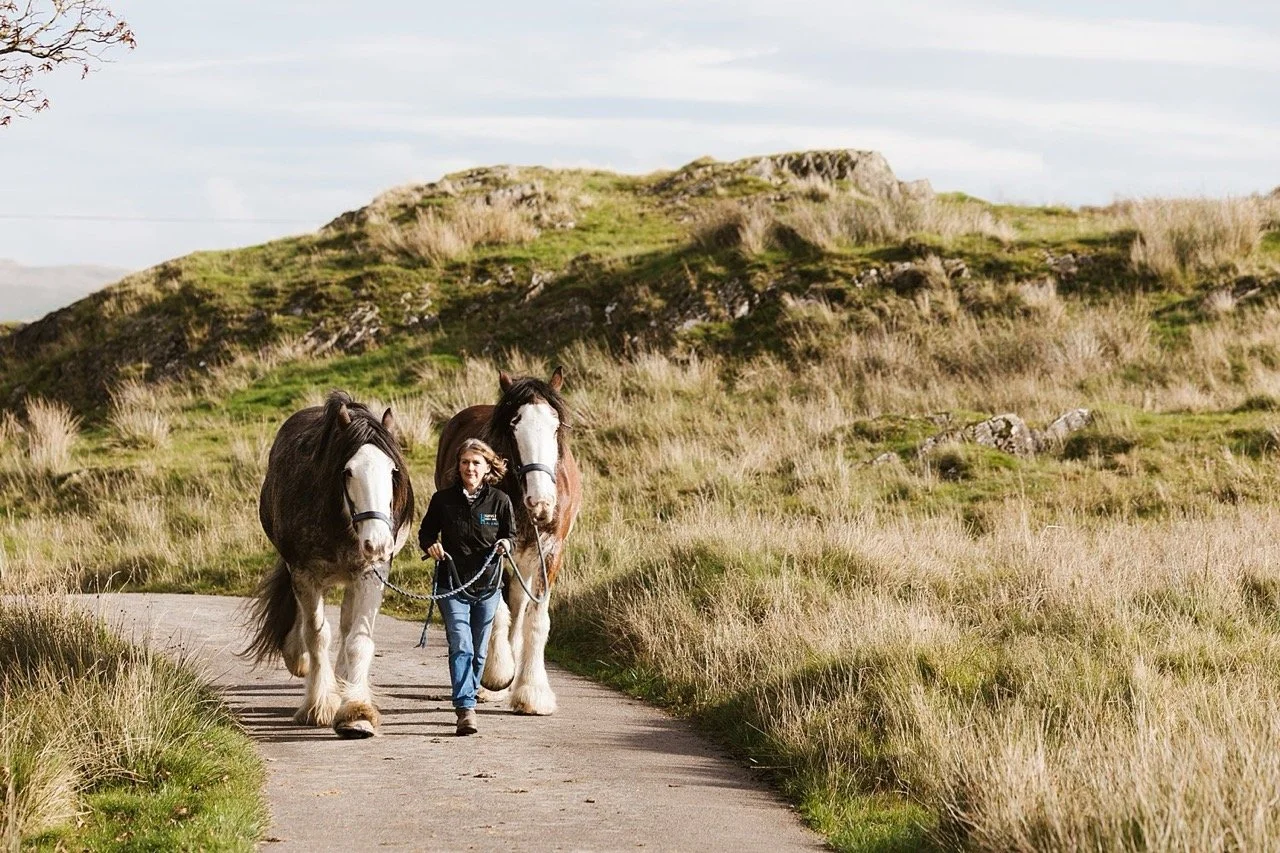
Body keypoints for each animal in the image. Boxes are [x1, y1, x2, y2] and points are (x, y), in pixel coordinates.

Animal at [242, 391, 415, 738]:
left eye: (393, 472)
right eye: (347, 472)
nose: (378, 542)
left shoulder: (371, 574)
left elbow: (358, 640)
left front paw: (356, 711)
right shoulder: (304, 574)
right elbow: (317, 635)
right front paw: (318, 706)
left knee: (348, 629)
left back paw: (344, 681)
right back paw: (301, 660)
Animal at [435, 366, 581, 715]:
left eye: (556, 426)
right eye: (514, 425)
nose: (541, 503)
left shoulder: (550, 552)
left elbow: (536, 619)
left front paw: (532, 691)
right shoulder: (493, 551)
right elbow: (496, 611)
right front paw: (497, 675)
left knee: (519, 602)